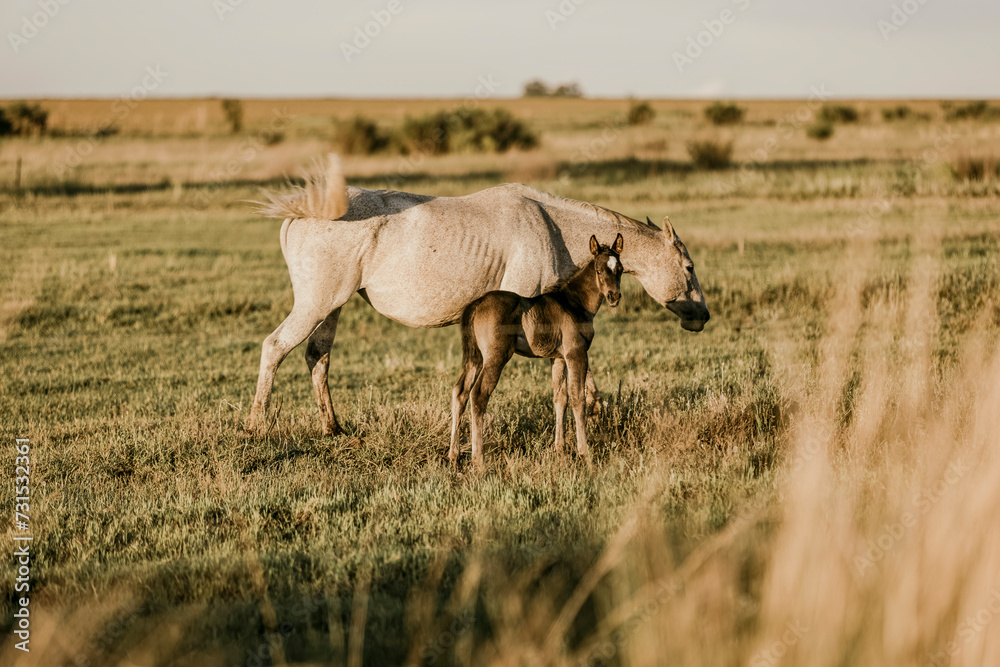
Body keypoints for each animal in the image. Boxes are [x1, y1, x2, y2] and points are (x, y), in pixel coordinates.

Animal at [248, 154, 709, 436]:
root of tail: (301, 213)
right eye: (689, 268)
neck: (552, 226)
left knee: (317, 357)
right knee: (275, 347)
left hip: (332, 308)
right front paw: (593, 408)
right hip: (316, 305)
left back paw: (334, 428)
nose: (701, 317)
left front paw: (595, 407)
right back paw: (256, 427)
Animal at [449, 234, 625, 469]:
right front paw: (584, 454)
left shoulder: (557, 358)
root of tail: (477, 303)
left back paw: (454, 455)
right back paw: (479, 462)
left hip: (475, 358)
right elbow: (578, 398)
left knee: (460, 392)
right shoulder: (576, 354)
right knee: (478, 394)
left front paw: (559, 450)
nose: (614, 296)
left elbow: (560, 398)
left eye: (620, 269)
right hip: (496, 357)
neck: (574, 303)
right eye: (598, 270)